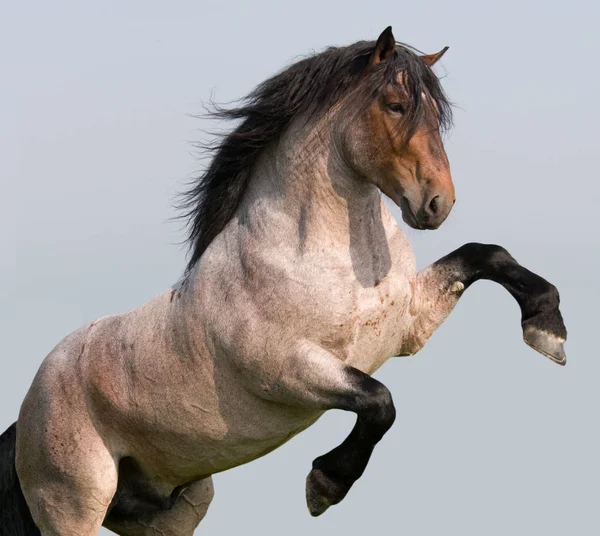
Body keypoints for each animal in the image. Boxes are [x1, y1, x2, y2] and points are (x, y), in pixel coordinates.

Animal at [1, 28, 568, 536]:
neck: (326, 260)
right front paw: (324, 485)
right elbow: (380, 401)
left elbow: (486, 255)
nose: (437, 203)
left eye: (437, 113)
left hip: (170, 515)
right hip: (73, 508)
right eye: (395, 105)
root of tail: (27, 413)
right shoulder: (289, 369)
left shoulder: (410, 327)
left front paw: (548, 332)